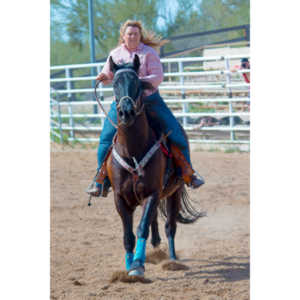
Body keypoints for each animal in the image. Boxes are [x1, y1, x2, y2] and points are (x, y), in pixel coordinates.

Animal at [102, 54, 205, 276]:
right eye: (114, 84)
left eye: (137, 84)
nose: (126, 112)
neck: (132, 151)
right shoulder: (119, 198)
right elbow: (128, 236)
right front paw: (129, 266)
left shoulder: (152, 192)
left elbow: (141, 228)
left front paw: (137, 266)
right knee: (155, 221)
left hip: (174, 192)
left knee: (169, 225)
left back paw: (172, 259)